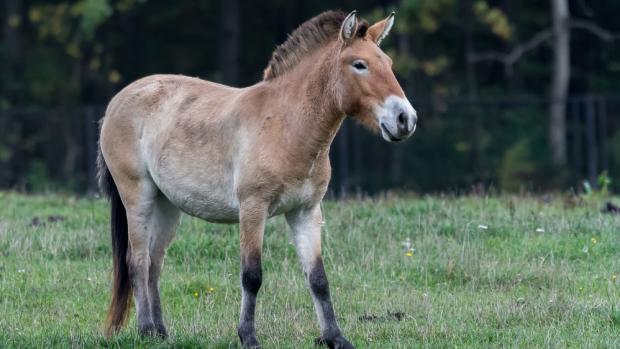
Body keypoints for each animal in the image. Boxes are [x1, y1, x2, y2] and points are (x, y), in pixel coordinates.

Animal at [97, 9, 416, 346]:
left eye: (388, 63)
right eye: (359, 64)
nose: (405, 119)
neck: (287, 125)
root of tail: (116, 102)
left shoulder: (306, 213)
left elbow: (318, 278)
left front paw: (335, 338)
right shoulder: (253, 208)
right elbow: (252, 275)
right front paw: (248, 336)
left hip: (167, 204)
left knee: (154, 263)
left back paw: (160, 332)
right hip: (138, 197)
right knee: (137, 261)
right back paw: (146, 329)